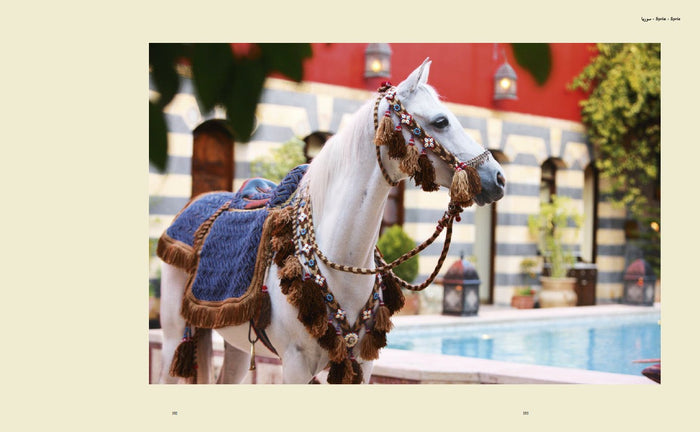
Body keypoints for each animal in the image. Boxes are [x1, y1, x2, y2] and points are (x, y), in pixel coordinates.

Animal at [157, 59, 506, 384]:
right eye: (441, 121)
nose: (498, 178)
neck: (342, 263)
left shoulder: (361, 363)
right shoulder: (296, 366)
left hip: (237, 344)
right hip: (175, 333)